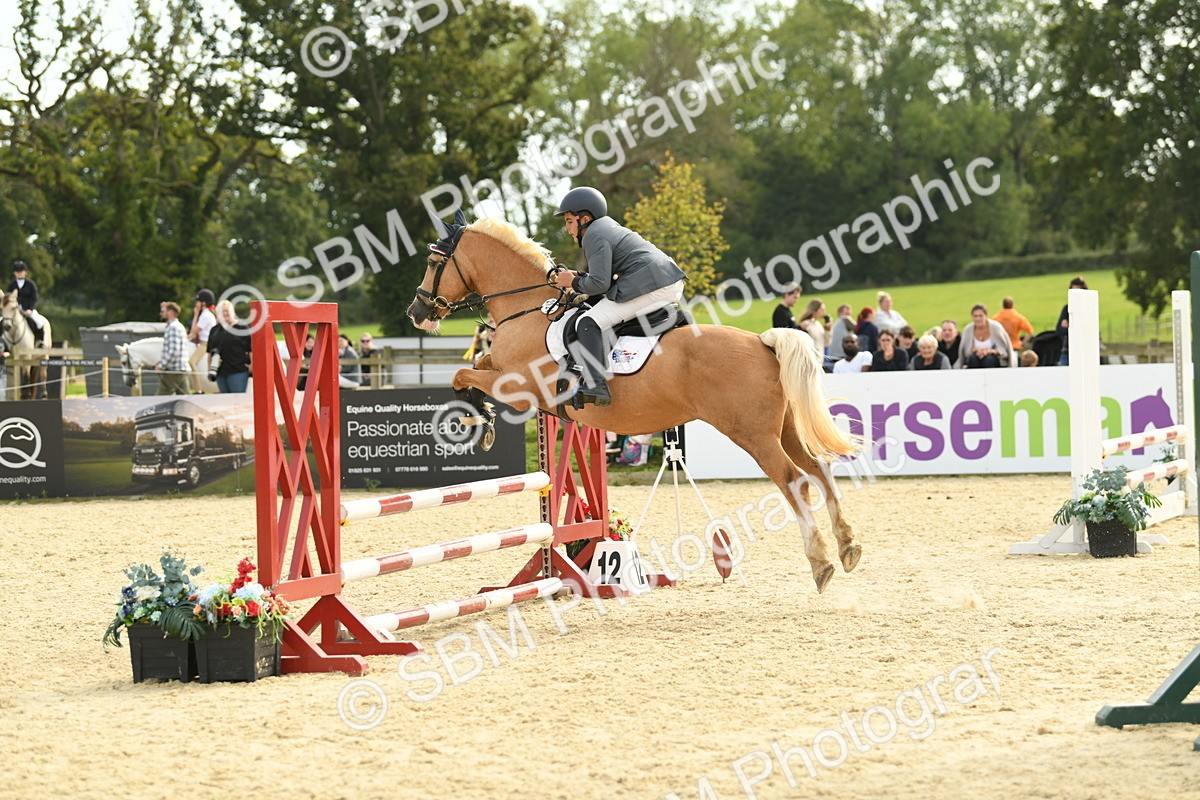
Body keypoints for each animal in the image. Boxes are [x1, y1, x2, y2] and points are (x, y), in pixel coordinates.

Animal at [405, 216, 861, 593]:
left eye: (432, 261)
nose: (416, 310)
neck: (529, 312)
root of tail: (764, 341)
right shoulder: (501, 371)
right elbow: (475, 367)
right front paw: (479, 417)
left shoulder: (518, 386)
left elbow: (463, 376)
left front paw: (477, 420)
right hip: (784, 428)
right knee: (820, 469)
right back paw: (848, 547)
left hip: (754, 435)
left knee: (795, 480)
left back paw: (821, 564)